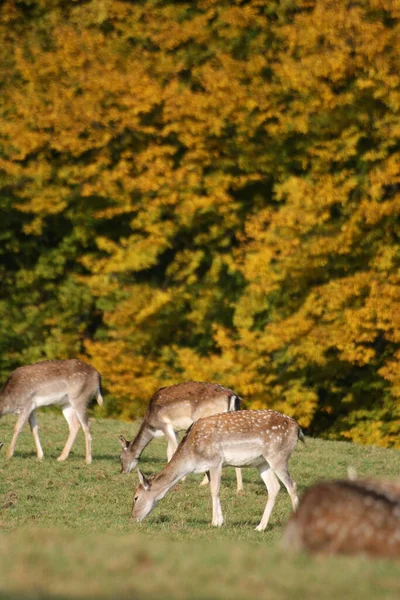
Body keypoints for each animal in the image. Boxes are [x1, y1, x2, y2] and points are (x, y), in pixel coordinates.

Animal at [130, 408, 304, 528]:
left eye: (136, 497)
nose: (132, 517)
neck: (191, 458)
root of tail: (298, 428)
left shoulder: (215, 460)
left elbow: (214, 490)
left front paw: (215, 522)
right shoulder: (208, 466)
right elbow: (212, 490)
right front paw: (220, 520)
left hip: (278, 457)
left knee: (292, 485)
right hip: (262, 463)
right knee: (274, 487)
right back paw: (260, 526)